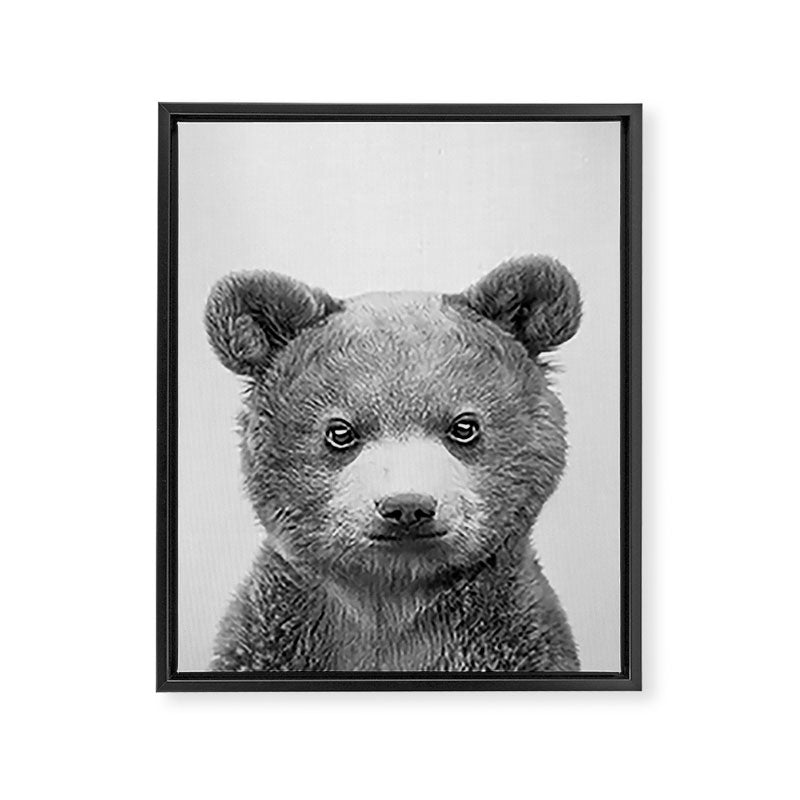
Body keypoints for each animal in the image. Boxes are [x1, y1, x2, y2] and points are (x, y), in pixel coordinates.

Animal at [204, 255, 582, 672]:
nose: (407, 506)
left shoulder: (511, 639)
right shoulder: (275, 636)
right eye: (340, 431)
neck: (392, 596)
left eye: (464, 426)